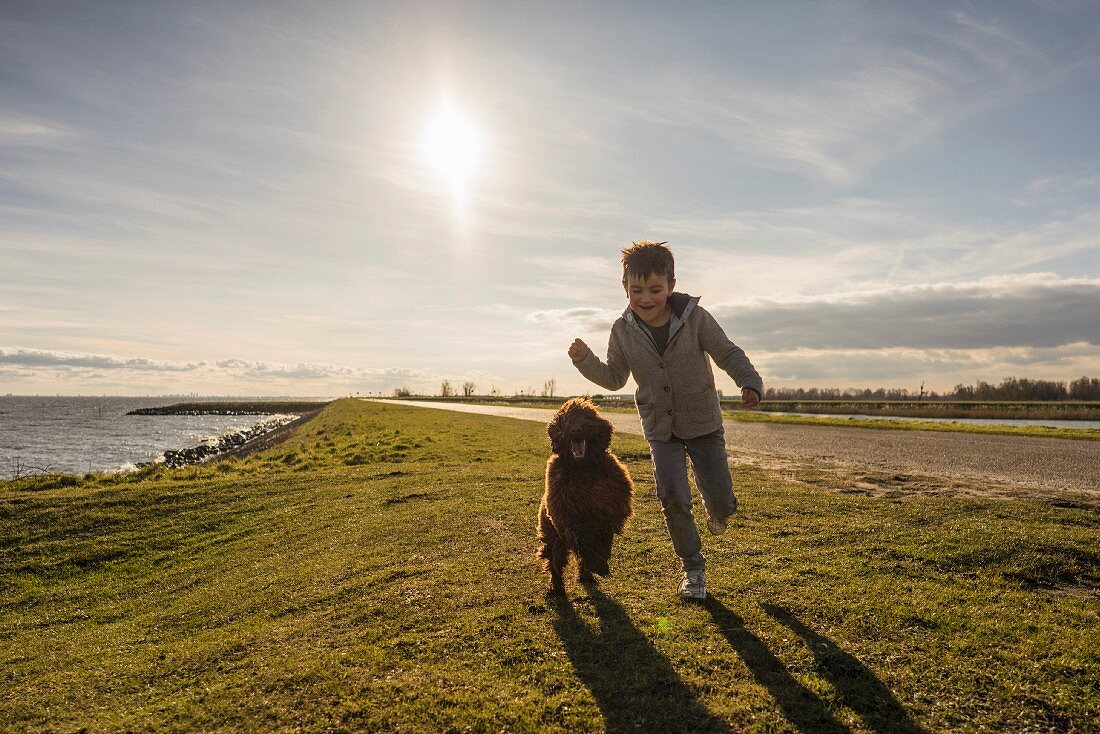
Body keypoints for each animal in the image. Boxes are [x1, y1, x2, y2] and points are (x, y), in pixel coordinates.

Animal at [536, 398, 633, 594]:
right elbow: (582, 537)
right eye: (565, 420)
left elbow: (602, 535)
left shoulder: (610, 511)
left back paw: (586, 574)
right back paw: (556, 586)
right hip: (552, 534)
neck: (582, 468)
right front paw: (598, 563)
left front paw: (599, 562)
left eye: (587, 417)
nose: (576, 430)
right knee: (555, 559)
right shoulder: (566, 515)